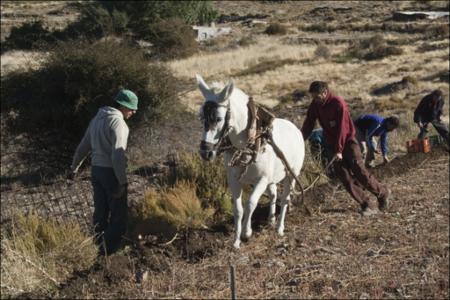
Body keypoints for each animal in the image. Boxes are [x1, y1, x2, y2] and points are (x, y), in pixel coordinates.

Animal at [197, 74, 306, 248]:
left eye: (219, 118)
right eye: (201, 117)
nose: (205, 152)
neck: (247, 144)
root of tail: (295, 129)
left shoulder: (261, 180)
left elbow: (251, 204)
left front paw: (246, 233)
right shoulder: (234, 180)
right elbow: (238, 208)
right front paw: (236, 241)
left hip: (291, 174)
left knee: (285, 199)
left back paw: (280, 228)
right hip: (272, 179)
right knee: (274, 194)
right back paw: (271, 220)